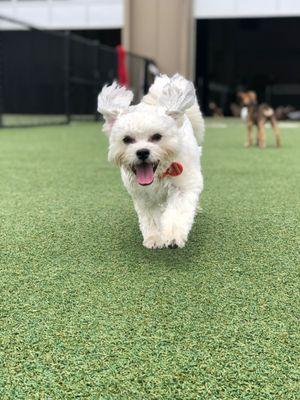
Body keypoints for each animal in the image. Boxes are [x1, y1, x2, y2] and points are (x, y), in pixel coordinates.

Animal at [97, 73, 205, 248]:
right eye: (127, 139)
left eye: (157, 136)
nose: (142, 152)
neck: (159, 175)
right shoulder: (143, 197)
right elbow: (151, 219)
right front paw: (154, 238)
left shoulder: (183, 188)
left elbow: (177, 213)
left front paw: (173, 236)